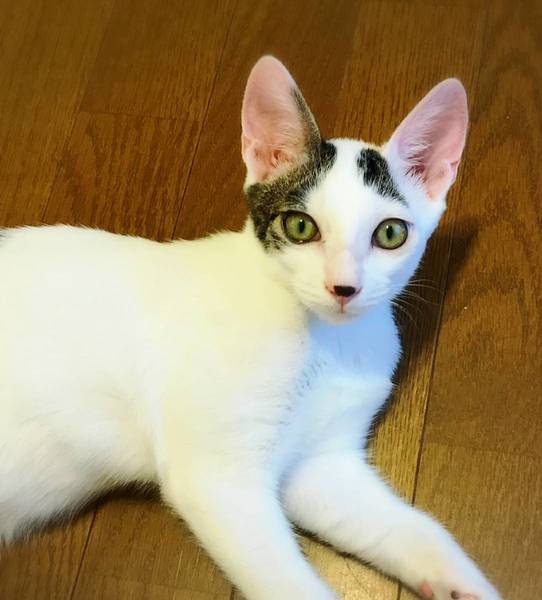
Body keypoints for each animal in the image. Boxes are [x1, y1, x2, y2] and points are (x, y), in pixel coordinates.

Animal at [0, 56, 502, 600]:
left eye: (390, 233)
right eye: (301, 227)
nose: (343, 288)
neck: (325, 344)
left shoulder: (320, 466)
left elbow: (415, 531)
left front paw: (467, 585)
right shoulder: (219, 479)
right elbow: (290, 585)